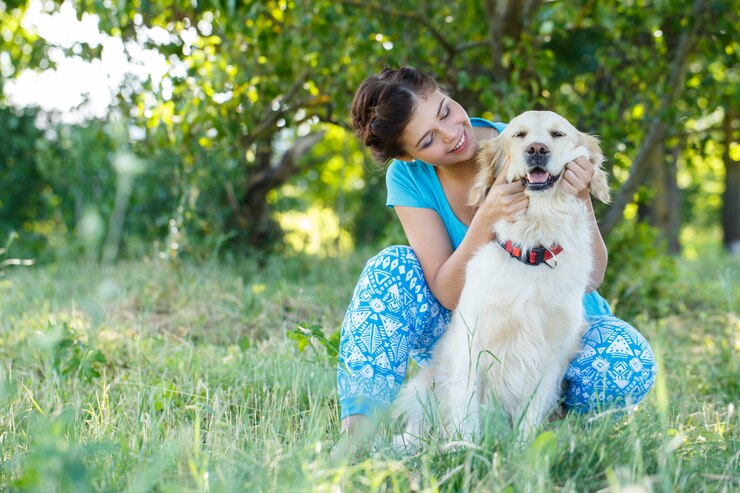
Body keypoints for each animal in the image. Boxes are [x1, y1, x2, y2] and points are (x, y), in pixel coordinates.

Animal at [396, 109, 608, 444]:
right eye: (519, 135)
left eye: (557, 134)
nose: (537, 150)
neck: (533, 246)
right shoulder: (472, 343)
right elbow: (467, 410)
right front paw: (464, 447)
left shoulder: (552, 354)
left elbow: (531, 413)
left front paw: (522, 448)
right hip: (424, 388)